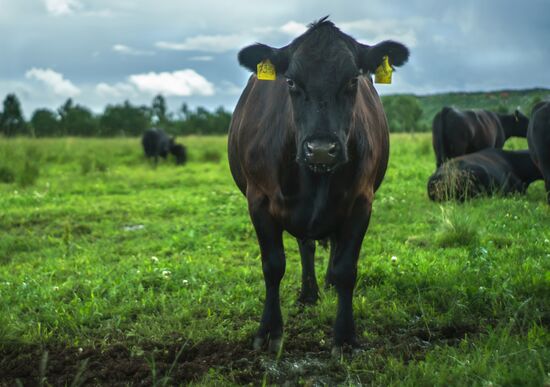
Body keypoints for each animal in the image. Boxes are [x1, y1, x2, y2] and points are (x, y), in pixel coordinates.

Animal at [227, 16, 410, 356]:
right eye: (291, 82)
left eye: (352, 80)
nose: (322, 149)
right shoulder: (258, 200)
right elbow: (273, 266)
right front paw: (269, 332)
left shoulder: (361, 201)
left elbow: (346, 269)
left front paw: (344, 336)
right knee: (306, 245)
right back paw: (308, 293)